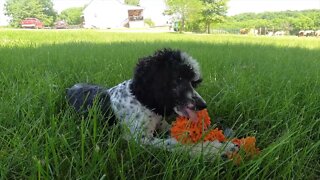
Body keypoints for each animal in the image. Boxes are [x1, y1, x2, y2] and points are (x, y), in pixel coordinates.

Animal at [67, 48, 238, 157]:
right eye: (178, 78)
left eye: (194, 82)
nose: (203, 105)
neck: (141, 98)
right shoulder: (140, 139)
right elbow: (175, 143)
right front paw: (216, 149)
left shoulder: (163, 125)